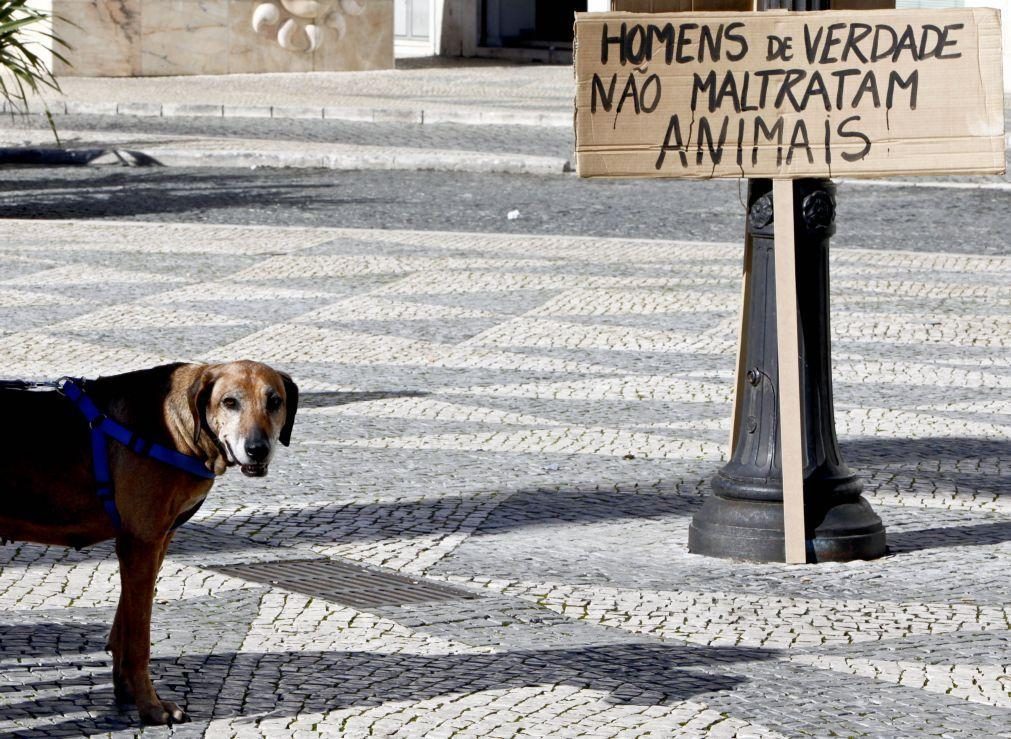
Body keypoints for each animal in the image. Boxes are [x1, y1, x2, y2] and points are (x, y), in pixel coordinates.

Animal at [0, 361, 297, 723]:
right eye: (230, 402)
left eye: (274, 402)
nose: (257, 449)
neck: (178, 426)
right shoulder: (140, 543)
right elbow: (140, 638)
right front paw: (151, 706)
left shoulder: (157, 540)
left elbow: (125, 625)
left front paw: (127, 689)